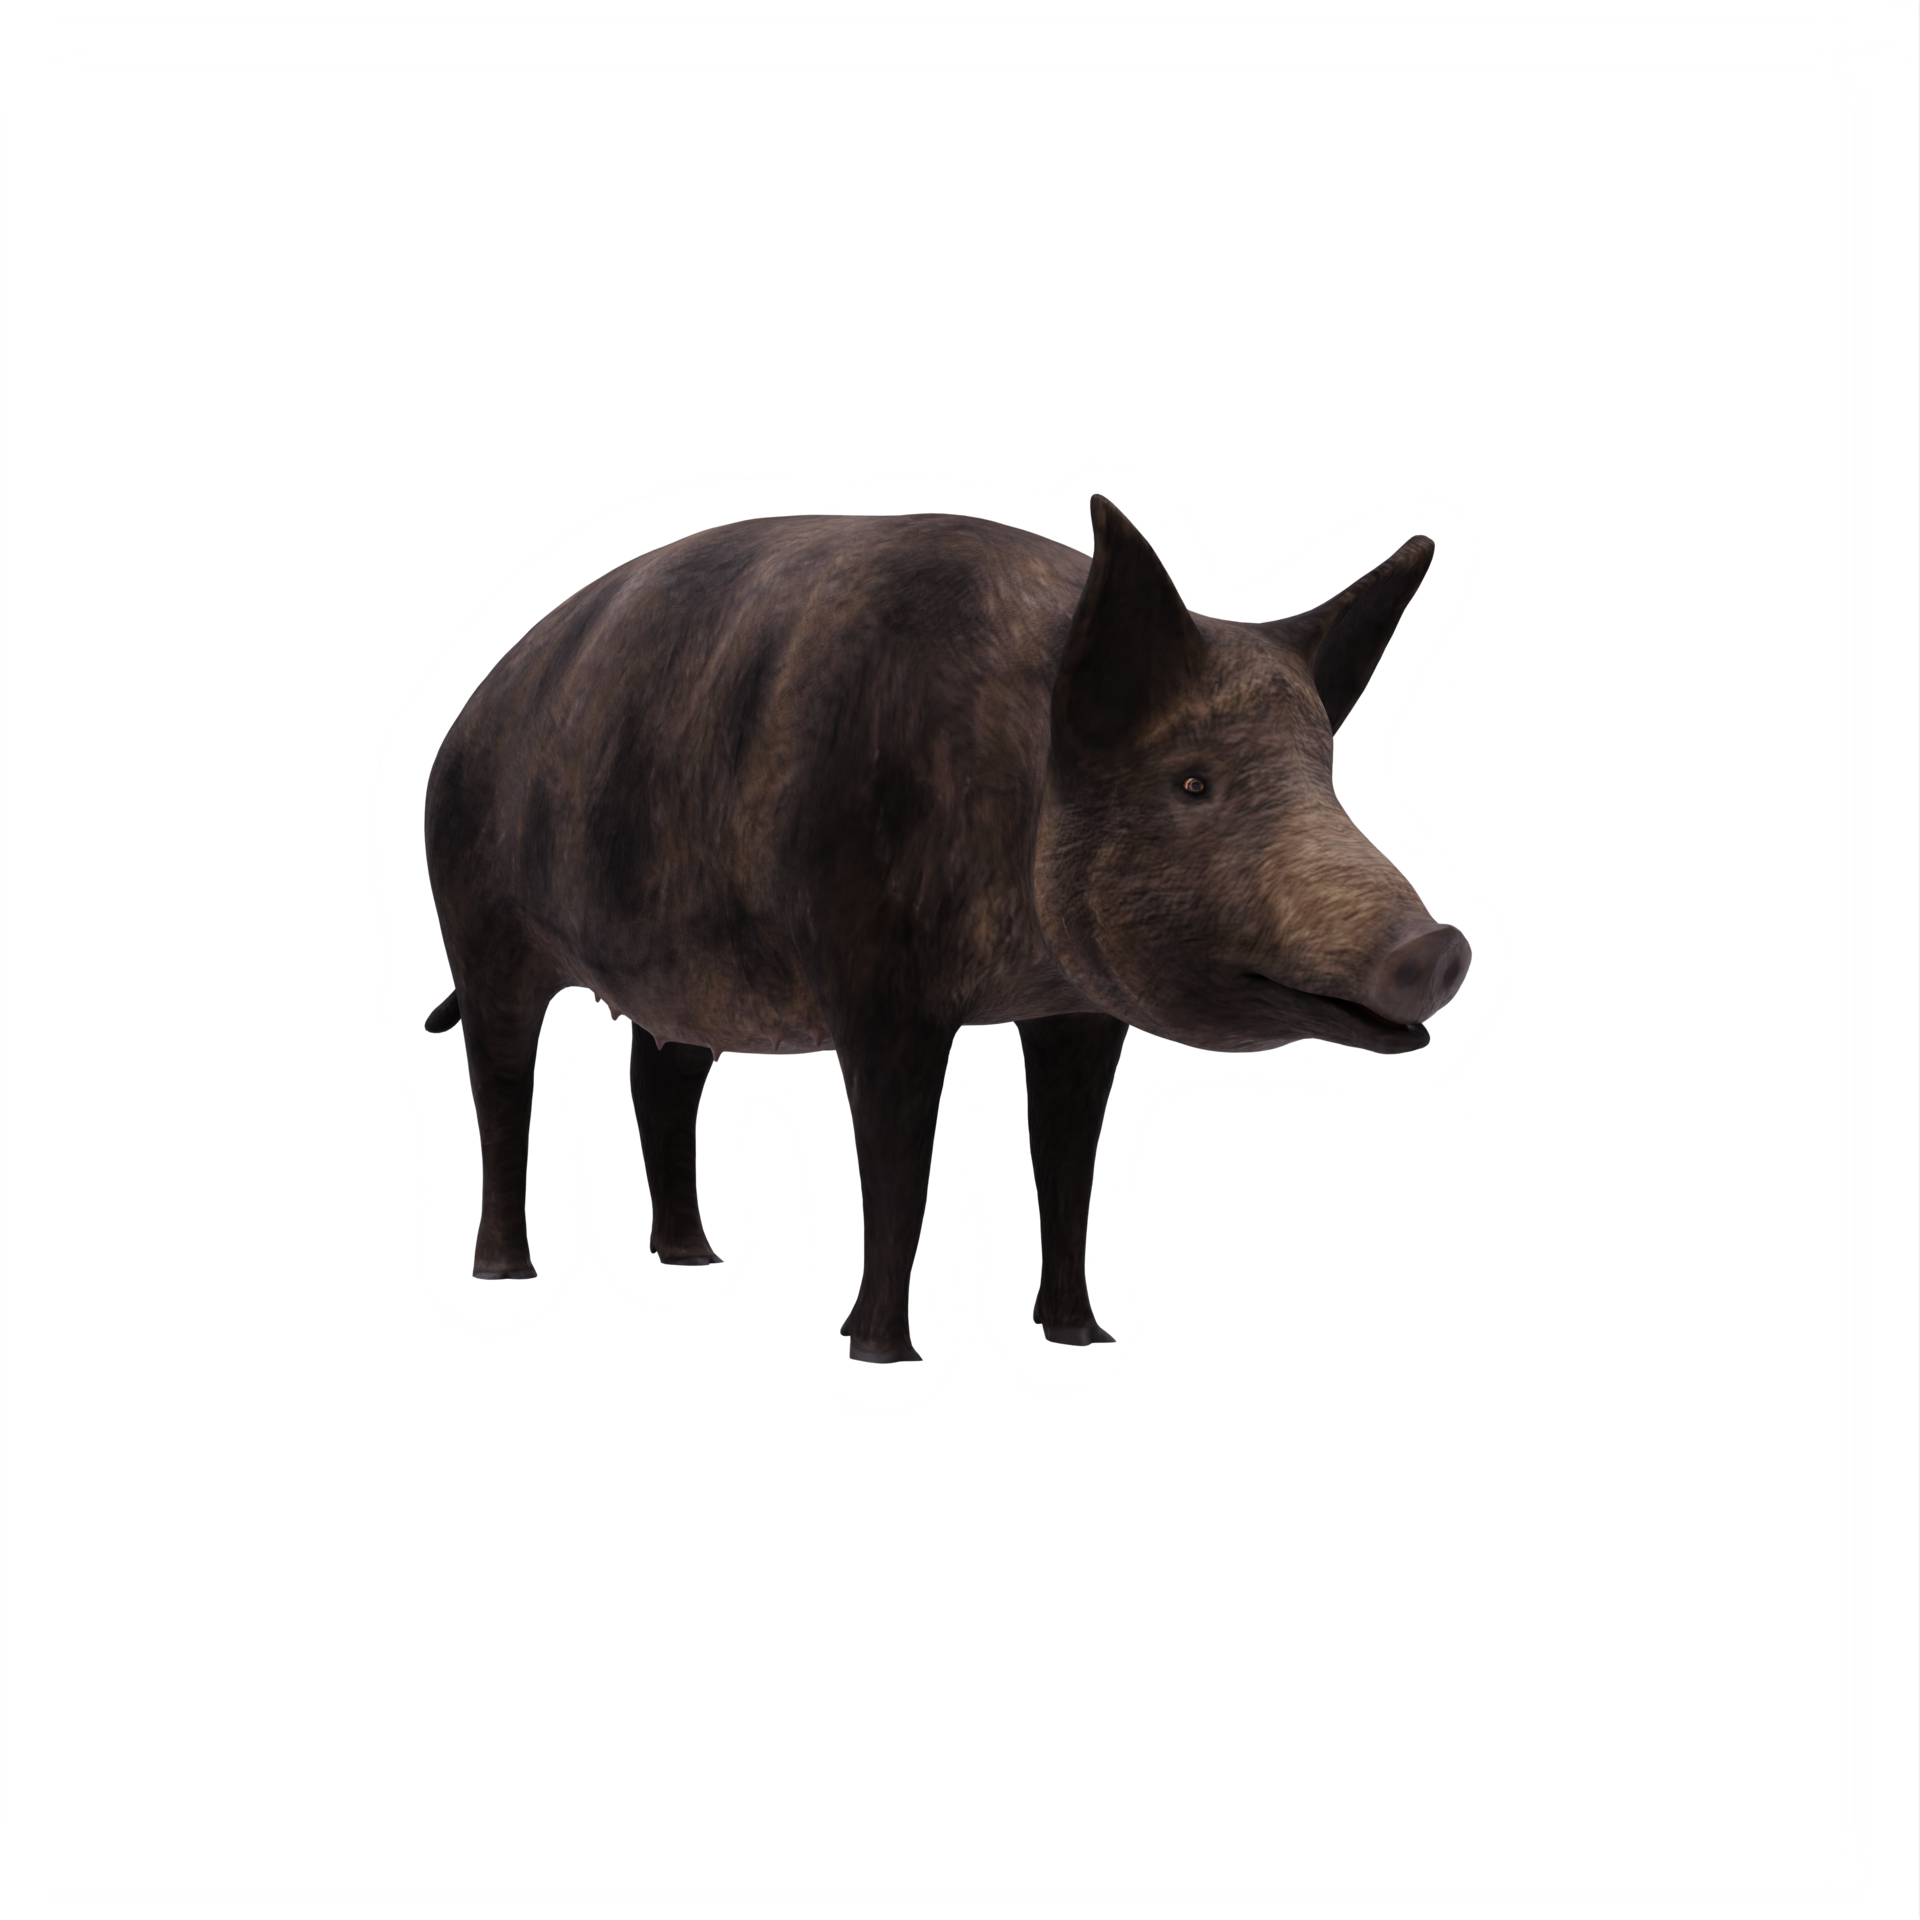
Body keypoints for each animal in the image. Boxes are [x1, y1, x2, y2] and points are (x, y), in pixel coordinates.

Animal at [421, 494, 1472, 1364]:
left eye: (1325, 778)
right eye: (1192, 782)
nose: (1441, 946)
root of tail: (466, 716)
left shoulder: (1079, 1009)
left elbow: (1066, 1157)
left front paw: (1081, 1337)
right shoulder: (872, 975)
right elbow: (900, 1161)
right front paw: (880, 1353)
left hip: (681, 976)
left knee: (662, 1075)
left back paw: (693, 1260)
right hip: (476, 916)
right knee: (503, 1081)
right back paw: (506, 1271)